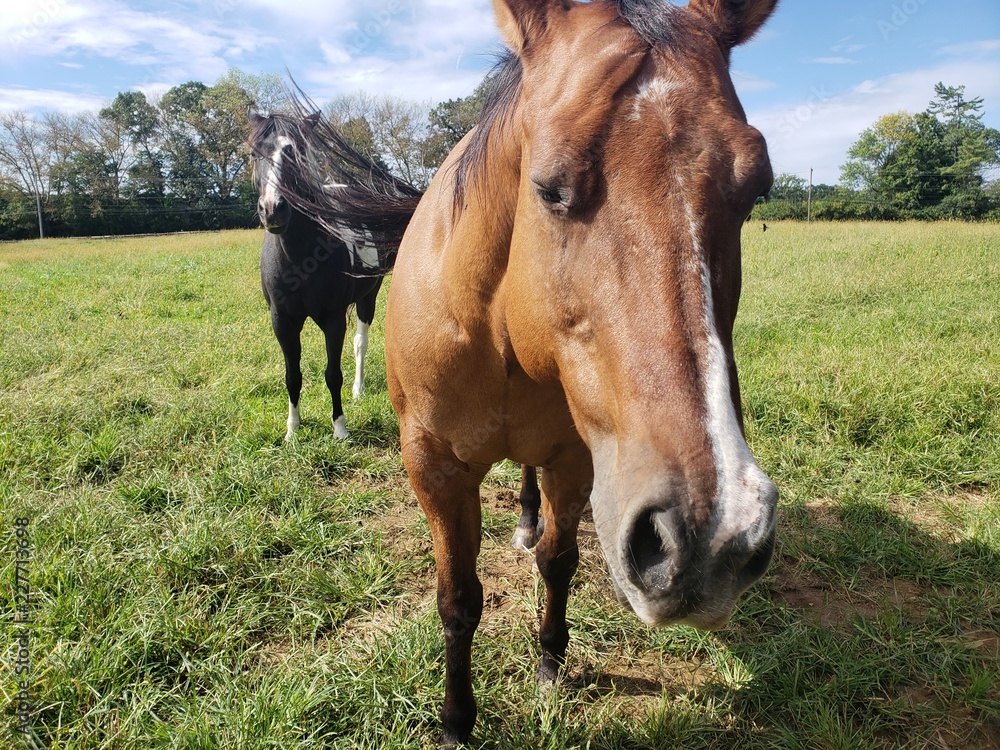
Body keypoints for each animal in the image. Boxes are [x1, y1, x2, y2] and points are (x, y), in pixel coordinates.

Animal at [248, 110, 420, 440]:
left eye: (296, 153)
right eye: (254, 153)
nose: (272, 209)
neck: (300, 258)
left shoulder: (333, 319)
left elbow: (332, 373)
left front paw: (340, 428)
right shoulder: (282, 321)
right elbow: (292, 375)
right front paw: (292, 430)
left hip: (368, 297)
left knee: (360, 342)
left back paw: (358, 389)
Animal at [380, 0, 781, 744]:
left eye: (757, 186)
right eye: (549, 188)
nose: (715, 538)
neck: (498, 331)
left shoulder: (576, 456)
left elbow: (557, 562)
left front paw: (549, 663)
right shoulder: (434, 464)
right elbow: (458, 599)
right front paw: (456, 721)